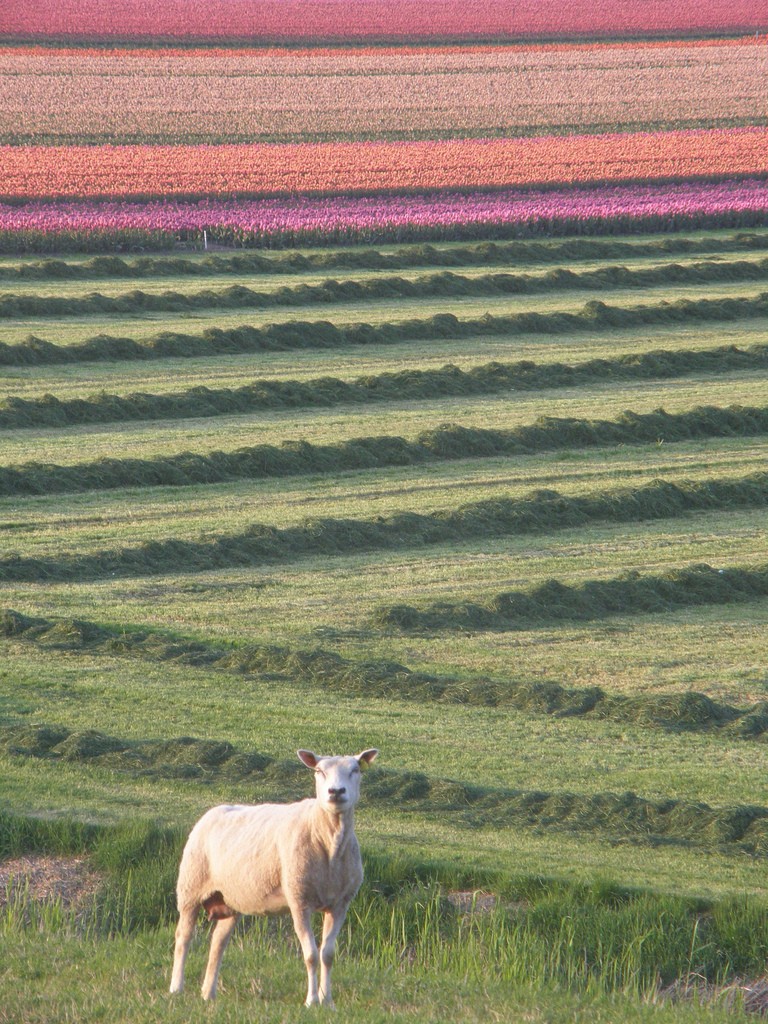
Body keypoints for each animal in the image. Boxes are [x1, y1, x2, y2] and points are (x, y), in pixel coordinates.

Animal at [172, 749, 382, 1003]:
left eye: (355, 770)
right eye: (318, 771)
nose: (336, 791)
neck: (328, 839)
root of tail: (212, 812)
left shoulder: (340, 904)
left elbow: (328, 955)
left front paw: (328, 1001)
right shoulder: (299, 900)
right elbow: (311, 955)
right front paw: (311, 1001)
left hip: (230, 899)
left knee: (218, 943)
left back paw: (208, 993)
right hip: (190, 887)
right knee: (183, 937)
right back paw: (176, 988)